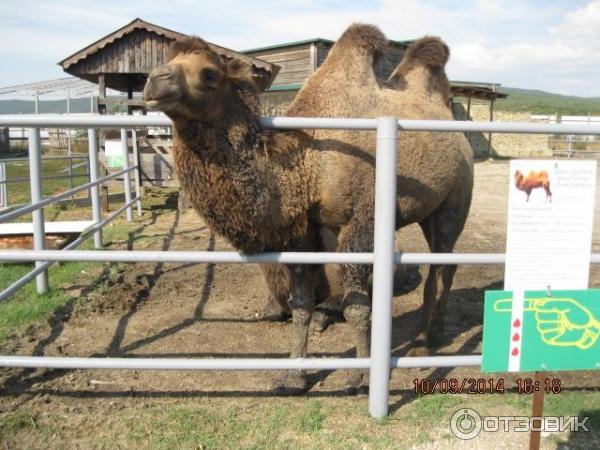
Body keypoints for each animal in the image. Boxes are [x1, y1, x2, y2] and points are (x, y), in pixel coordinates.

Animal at [144, 22, 474, 392]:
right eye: (169, 59)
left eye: (210, 74)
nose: (154, 80)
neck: (309, 165)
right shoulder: (302, 230)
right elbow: (301, 304)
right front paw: (293, 376)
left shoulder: (359, 223)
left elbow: (355, 306)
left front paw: (360, 377)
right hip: (429, 210)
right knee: (441, 266)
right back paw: (430, 338)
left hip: (455, 199)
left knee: (442, 265)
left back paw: (424, 344)